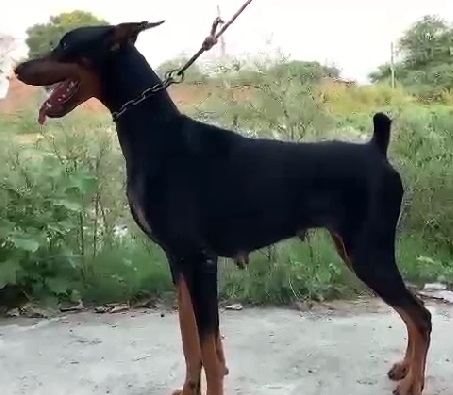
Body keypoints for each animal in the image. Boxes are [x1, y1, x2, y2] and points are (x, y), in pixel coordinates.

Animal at [15, 20, 430, 395]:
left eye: (65, 45)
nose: (17, 69)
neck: (157, 136)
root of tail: (376, 148)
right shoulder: (178, 260)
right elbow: (192, 342)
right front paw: (187, 390)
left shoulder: (201, 261)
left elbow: (210, 351)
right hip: (353, 248)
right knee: (412, 313)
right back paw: (404, 369)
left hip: (367, 251)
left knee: (421, 315)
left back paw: (413, 383)